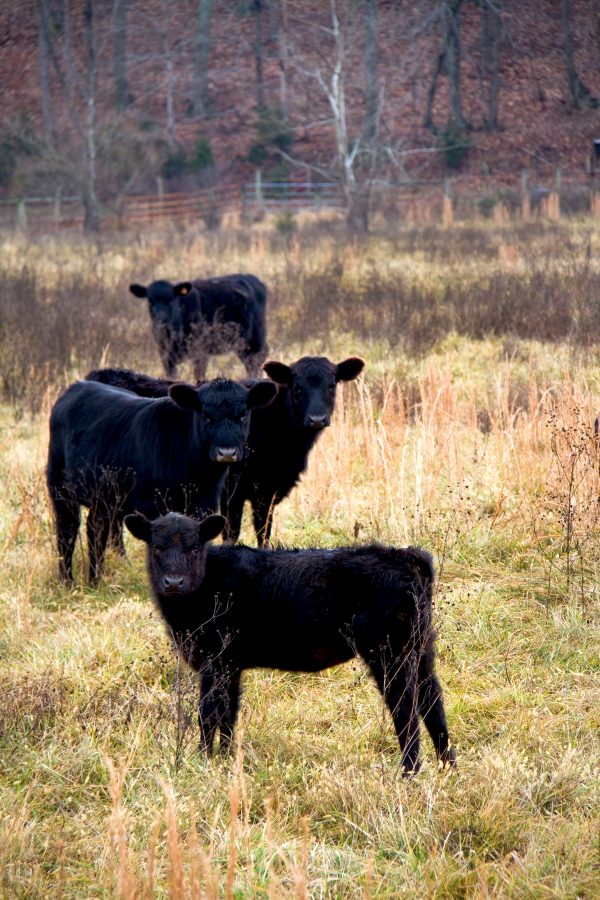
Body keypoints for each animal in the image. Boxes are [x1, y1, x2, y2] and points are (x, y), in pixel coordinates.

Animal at [47, 377, 277, 584]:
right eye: (205, 414)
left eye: (242, 414)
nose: (227, 452)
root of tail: (76, 387)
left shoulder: (204, 506)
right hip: (62, 491)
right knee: (68, 532)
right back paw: (70, 582)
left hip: (106, 500)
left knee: (97, 530)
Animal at [84, 354, 365, 546]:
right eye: (297, 386)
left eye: (332, 385)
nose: (317, 419)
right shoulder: (233, 491)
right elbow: (232, 532)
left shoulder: (267, 491)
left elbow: (264, 531)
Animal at [124, 510, 456, 773]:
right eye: (157, 546)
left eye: (194, 546)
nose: (174, 583)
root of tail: (408, 557)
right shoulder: (231, 666)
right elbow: (229, 715)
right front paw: (225, 759)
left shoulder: (213, 660)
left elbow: (208, 714)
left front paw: (203, 761)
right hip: (422, 648)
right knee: (433, 704)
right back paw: (447, 768)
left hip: (390, 653)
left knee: (406, 709)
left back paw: (409, 773)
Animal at [129, 273, 268, 381]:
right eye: (150, 301)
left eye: (170, 300)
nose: (160, 320)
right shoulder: (165, 355)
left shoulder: (201, 351)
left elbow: (198, 375)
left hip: (255, 338)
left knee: (258, 360)